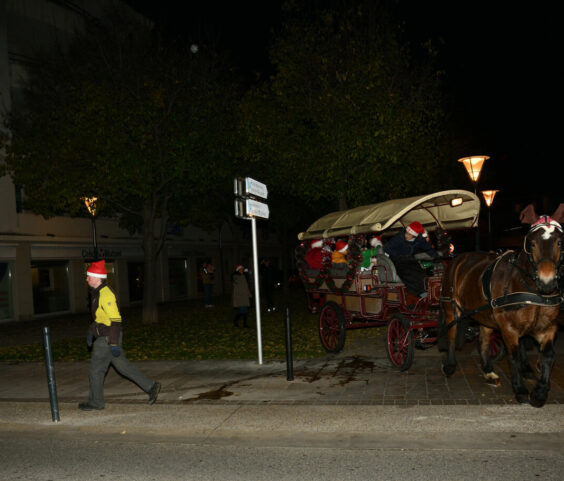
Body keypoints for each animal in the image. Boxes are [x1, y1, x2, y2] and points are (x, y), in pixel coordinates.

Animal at [440, 216, 564, 406]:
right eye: (532, 244)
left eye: (558, 242)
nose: (547, 281)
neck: (531, 291)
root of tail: (458, 258)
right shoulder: (509, 328)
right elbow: (513, 356)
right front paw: (520, 389)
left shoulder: (548, 327)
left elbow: (548, 355)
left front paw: (540, 392)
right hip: (450, 308)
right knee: (452, 335)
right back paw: (450, 365)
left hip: (484, 315)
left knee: (483, 341)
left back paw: (488, 371)